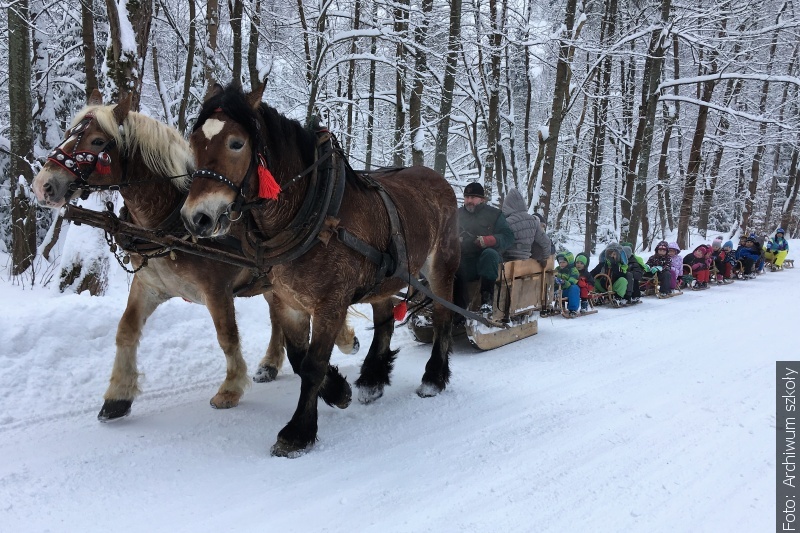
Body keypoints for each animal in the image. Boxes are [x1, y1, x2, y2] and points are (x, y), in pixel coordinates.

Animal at [30, 93, 356, 422]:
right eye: (69, 133)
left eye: (96, 141)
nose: (42, 185)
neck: (170, 224)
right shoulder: (149, 286)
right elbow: (126, 331)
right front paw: (117, 396)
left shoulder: (216, 290)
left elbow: (227, 336)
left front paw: (230, 388)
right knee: (278, 315)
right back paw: (271, 363)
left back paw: (342, 339)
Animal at [180, 83, 456, 458]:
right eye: (194, 140)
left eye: (236, 143)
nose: (196, 217)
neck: (313, 212)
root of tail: (434, 175)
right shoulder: (288, 301)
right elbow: (299, 359)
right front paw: (339, 391)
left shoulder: (330, 303)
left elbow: (312, 365)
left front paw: (297, 433)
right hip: (385, 278)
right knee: (385, 321)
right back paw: (372, 380)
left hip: (441, 267)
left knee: (443, 318)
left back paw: (433, 379)